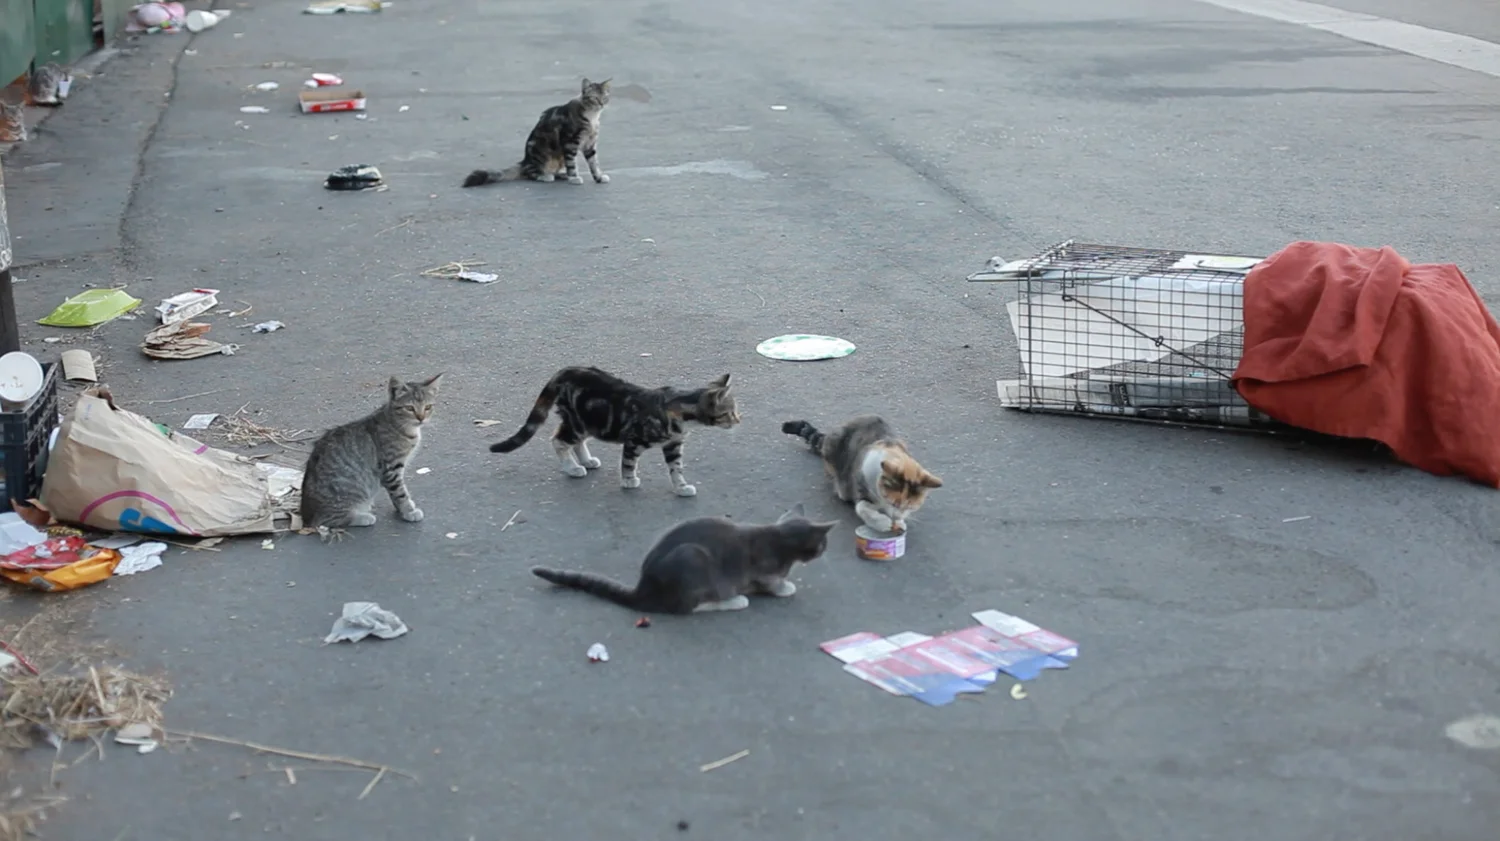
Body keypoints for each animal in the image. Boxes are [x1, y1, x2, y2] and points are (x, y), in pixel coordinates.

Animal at [300, 374, 444, 541]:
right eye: (409, 408)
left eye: (428, 407)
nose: (421, 418)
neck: (400, 425)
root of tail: (305, 516)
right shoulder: (391, 469)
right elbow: (400, 493)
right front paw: (408, 512)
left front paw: (404, 508)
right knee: (325, 521)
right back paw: (362, 517)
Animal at [461, 78, 612, 187]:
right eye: (594, 98)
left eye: (604, 97)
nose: (601, 104)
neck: (592, 117)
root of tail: (525, 161)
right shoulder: (570, 142)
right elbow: (572, 164)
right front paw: (574, 178)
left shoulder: (590, 144)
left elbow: (594, 164)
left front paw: (599, 177)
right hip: (542, 152)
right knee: (531, 173)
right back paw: (544, 176)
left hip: (558, 158)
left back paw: (561, 175)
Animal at [488, 367, 739, 497]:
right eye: (729, 413)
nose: (739, 420)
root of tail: (566, 371)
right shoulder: (634, 439)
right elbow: (628, 462)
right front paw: (628, 481)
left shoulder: (673, 445)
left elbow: (676, 469)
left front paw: (681, 487)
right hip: (579, 422)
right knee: (558, 440)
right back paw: (572, 468)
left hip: (590, 421)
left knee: (572, 440)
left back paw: (586, 460)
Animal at [531, 504, 837, 614]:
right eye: (823, 544)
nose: (825, 550)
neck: (778, 537)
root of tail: (644, 587)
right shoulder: (763, 571)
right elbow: (773, 583)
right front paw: (785, 588)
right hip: (693, 559)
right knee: (691, 606)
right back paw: (734, 601)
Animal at [781, 415, 942, 535]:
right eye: (893, 503)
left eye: (910, 506)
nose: (896, 517)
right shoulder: (859, 481)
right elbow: (862, 506)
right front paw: (882, 522)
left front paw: (900, 522)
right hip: (835, 450)